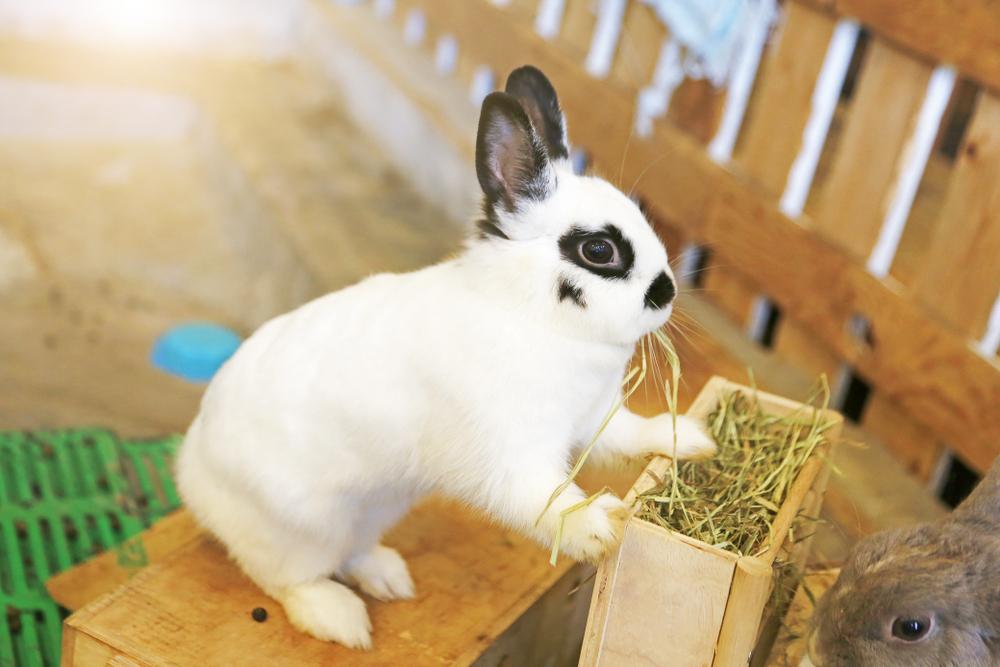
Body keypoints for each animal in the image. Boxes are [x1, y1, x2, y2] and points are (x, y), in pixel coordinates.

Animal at [176, 65, 716, 648]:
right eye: (599, 250)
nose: (666, 293)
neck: (530, 315)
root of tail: (192, 470)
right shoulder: (508, 456)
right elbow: (544, 499)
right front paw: (604, 526)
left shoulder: (594, 417)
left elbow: (631, 434)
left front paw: (691, 440)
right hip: (297, 532)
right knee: (287, 580)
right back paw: (342, 620)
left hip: (372, 511)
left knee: (350, 554)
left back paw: (389, 578)